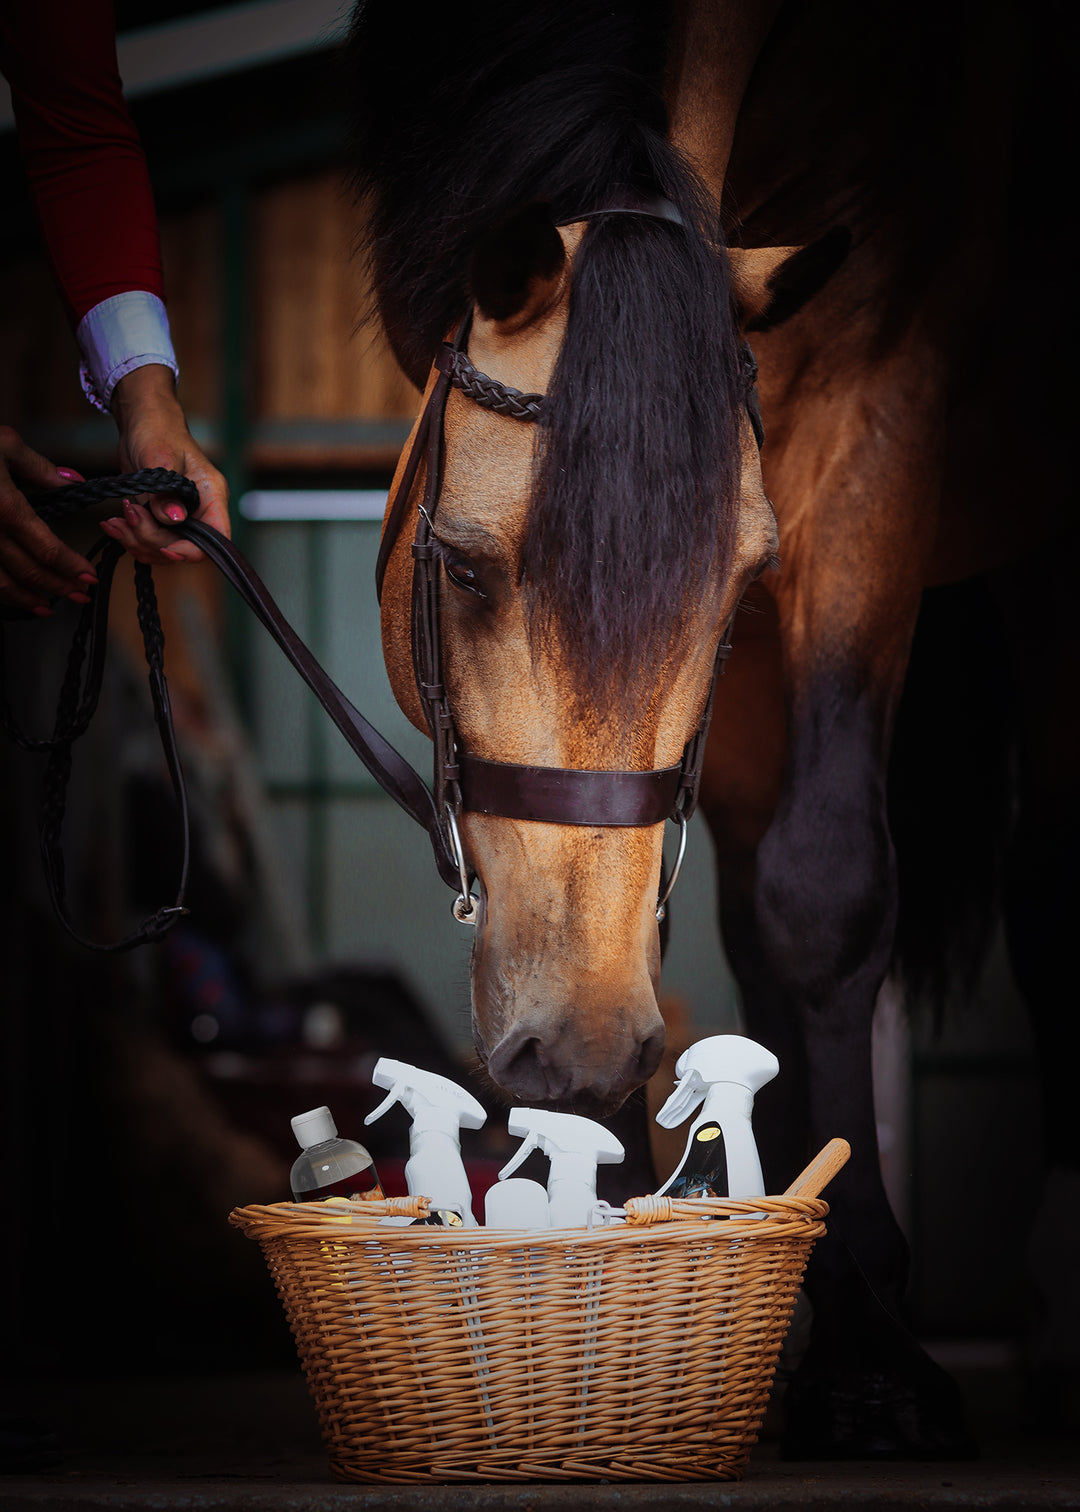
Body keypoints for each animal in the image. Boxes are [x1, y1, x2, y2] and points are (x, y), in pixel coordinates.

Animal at [344, 2, 1070, 1463]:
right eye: (461, 569)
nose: (579, 1052)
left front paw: (870, 1353)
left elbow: (826, 890)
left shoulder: (877, 414)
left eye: (738, 587)